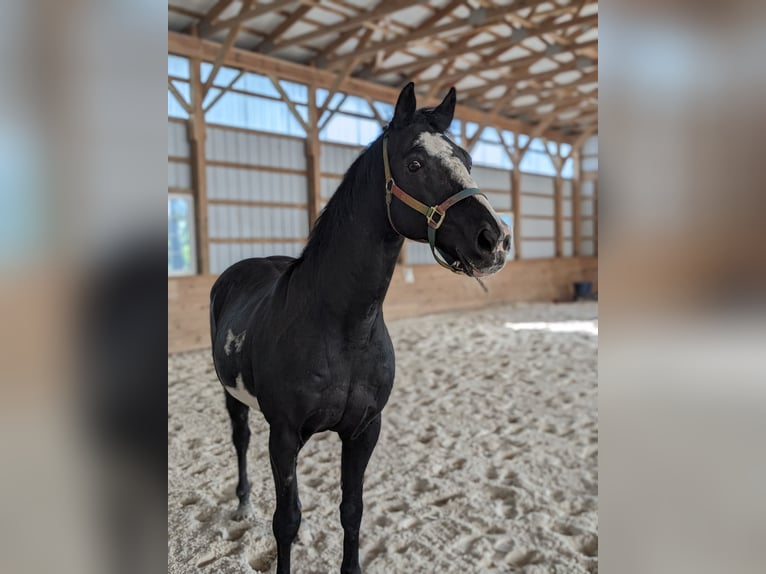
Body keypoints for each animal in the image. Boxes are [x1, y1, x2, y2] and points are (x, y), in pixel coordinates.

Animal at [209, 82, 511, 574]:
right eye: (414, 163)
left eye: (467, 160)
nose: (495, 240)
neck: (343, 330)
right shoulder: (284, 434)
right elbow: (284, 522)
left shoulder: (364, 430)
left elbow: (352, 510)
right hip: (234, 400)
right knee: (241, 440)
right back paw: (243, 504)